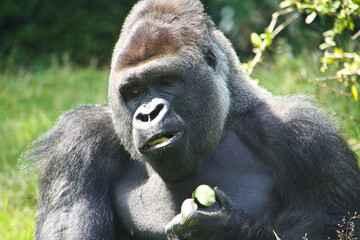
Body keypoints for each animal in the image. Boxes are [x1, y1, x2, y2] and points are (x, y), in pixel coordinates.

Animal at [26, 0, 360, 239]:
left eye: (167, 81)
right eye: (134, 91)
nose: (148, 113)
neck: (226, 116)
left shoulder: (307, 139)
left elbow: (335, 227)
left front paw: (223, 228)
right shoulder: (77, 144)